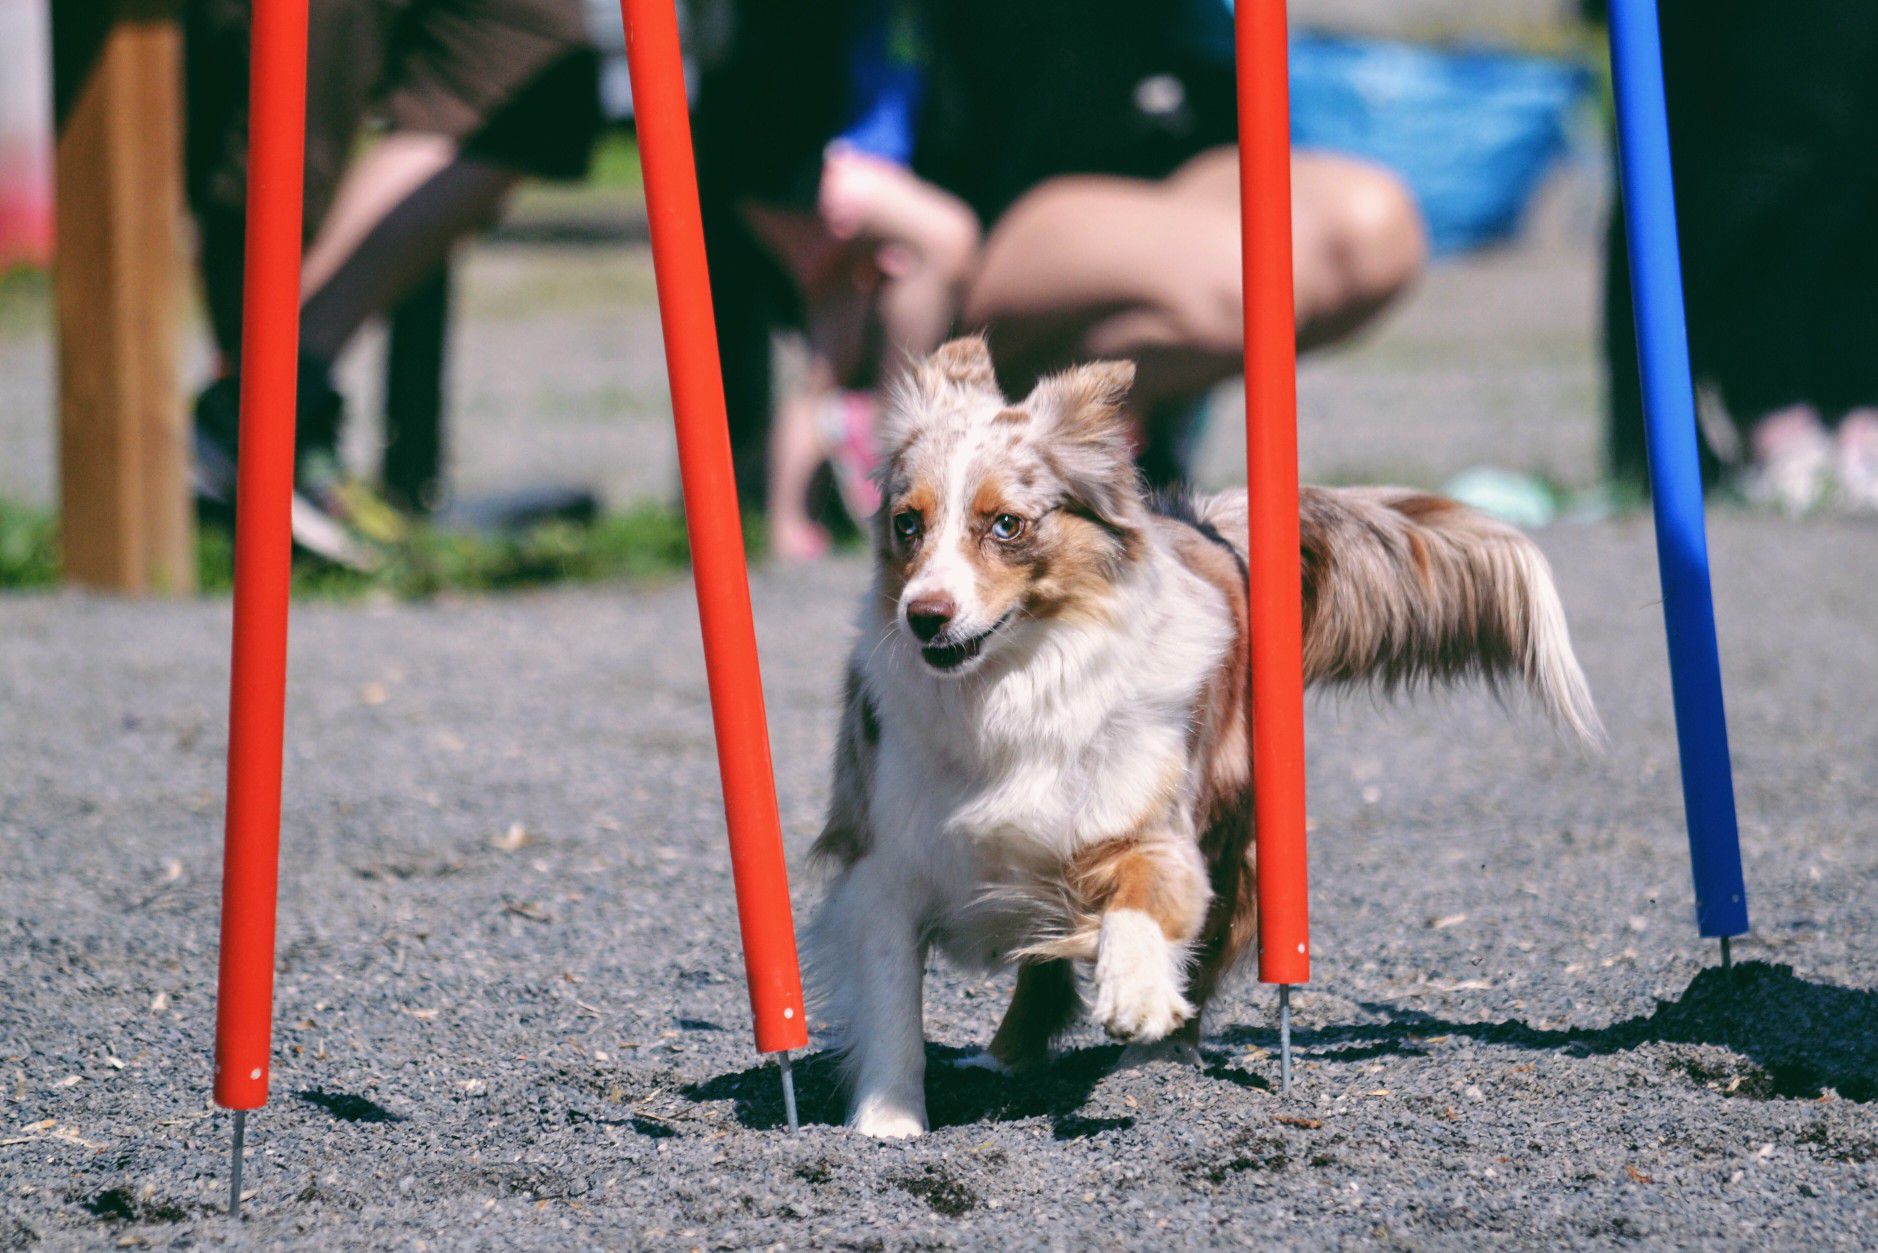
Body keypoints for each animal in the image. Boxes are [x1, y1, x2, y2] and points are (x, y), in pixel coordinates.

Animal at [807, 338, 1600, 1142]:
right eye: (908, 523)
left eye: (1006, 524)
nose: (924, 616)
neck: (1009, 688)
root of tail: (1203, 519)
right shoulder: (883, 858)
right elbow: (892, 999)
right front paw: (888, 1120)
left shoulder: (1153, 829)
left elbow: (1141, 903)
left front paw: (1136, 996)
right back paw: (1006, 1055)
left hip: (1230, 835)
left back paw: (1155, 1058)